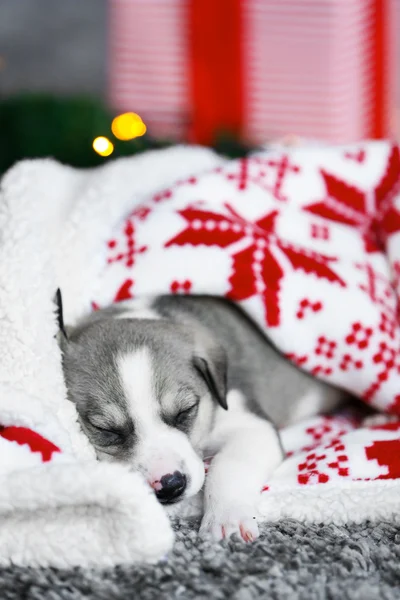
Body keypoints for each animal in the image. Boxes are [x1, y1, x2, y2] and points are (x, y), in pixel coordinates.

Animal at [57, 292, 342, 540]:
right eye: (105, 429)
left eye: (185, 411)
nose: (170, 485)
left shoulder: (250, 424)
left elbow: (229, 465)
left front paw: (227, 518)